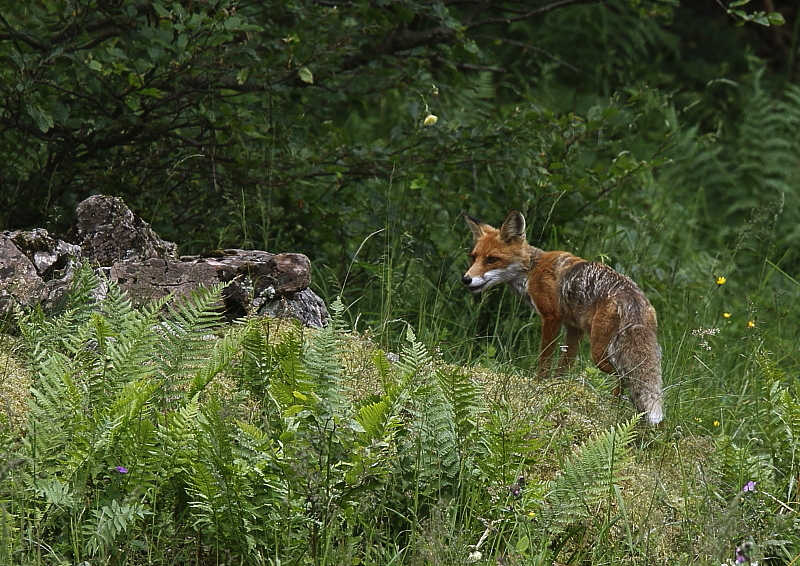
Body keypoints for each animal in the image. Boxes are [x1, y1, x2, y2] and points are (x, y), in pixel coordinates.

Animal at [462, 212, 664, 426]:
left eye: (492, 259)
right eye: (473, 257)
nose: (466, 279)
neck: (533, 268)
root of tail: (632, 296)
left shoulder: (551, 318)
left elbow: (545, 360)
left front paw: (539, 385)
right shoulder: (574, 328)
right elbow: (565, 365)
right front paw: (559, 390)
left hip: (599, 354)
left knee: (625, 376)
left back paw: (614, 409)